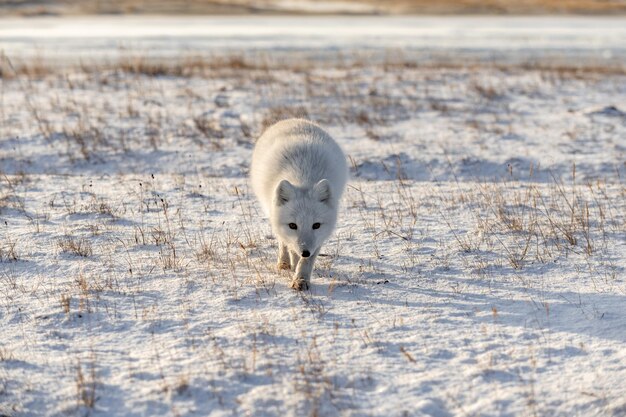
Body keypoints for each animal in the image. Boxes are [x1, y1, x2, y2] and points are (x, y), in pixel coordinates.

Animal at [249, 118, 346, 290]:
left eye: (316, 225)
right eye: (293, 225)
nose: (305, 252)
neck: (303, 179)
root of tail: (292, 119)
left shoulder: (320, 236)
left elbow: (307, 261)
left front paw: (301, 278)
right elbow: (291, 248)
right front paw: (294, 267)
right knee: (282, 241)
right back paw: (284, 262)